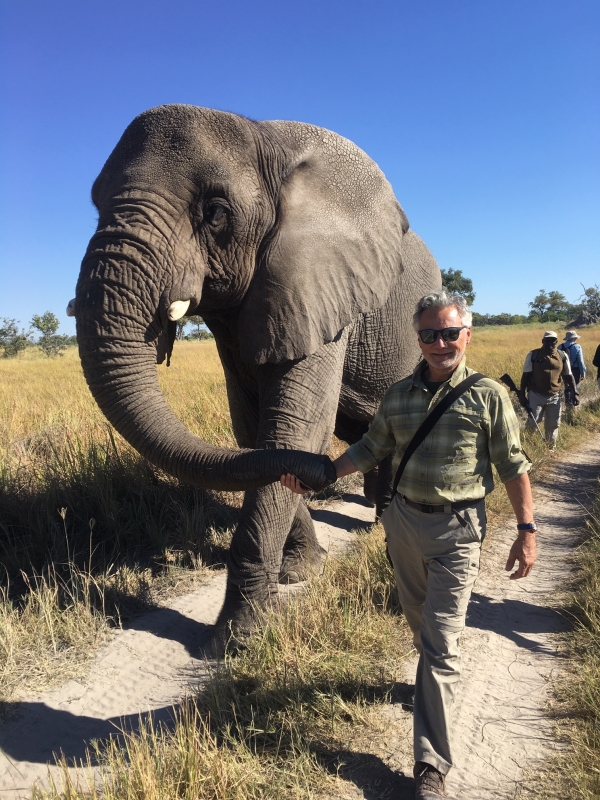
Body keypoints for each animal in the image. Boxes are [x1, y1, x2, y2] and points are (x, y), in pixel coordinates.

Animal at [71, 106, 440, 652]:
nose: (324, 473)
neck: (261, 136)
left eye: (215, 212)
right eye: (96, 206)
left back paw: (382, 528)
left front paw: (238, 640)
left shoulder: (322, 284)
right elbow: (256, 435)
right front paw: (299, 574)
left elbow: (295, 427)